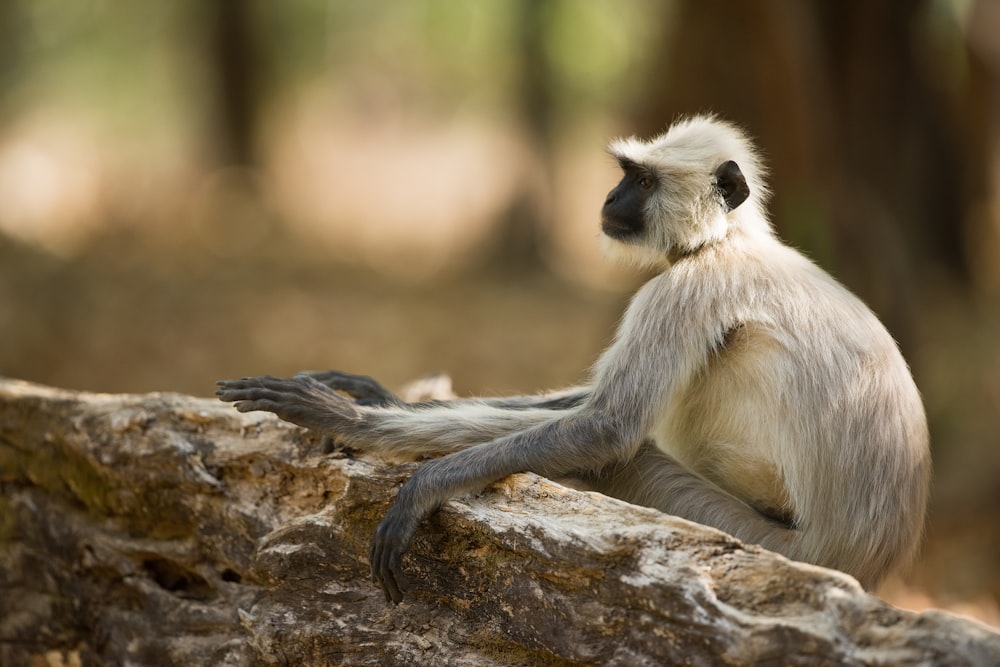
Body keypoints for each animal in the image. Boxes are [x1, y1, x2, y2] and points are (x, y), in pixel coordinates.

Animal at [217, 115, 928, 604]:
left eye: (642, 181)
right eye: (625, 175)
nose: (610, 199)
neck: (726, 240)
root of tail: (866, 565)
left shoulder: (685, 289)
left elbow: (606, 427)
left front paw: (381, 446)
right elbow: (585, 409)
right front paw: (368, 395)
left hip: (758, 539)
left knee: (626, 453)